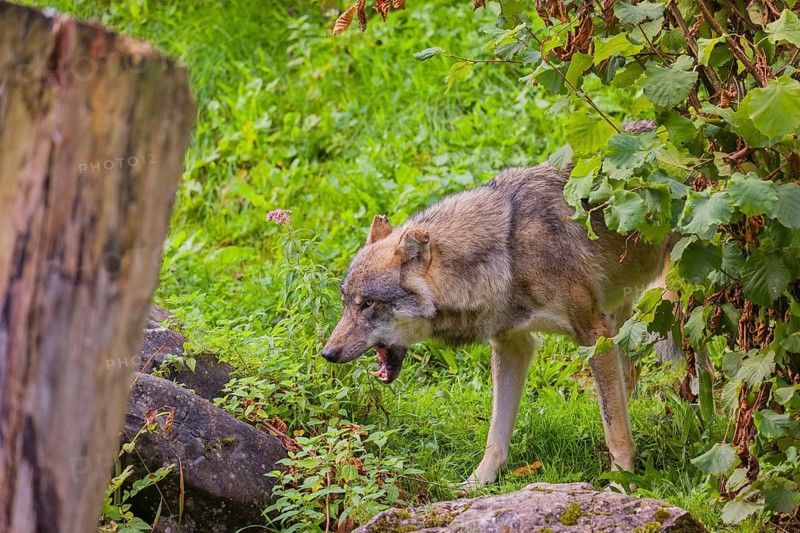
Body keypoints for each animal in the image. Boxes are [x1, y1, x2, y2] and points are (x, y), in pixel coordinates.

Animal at [322, 140, 675, 488]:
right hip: (622, 314)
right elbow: (496, 432)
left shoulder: (594, 334)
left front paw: (621, 482)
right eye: (345, 302)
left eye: (368, 303)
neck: (508, 253)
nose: (327, 353)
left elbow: (614, 427)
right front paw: (478, 482)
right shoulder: (512, 344)